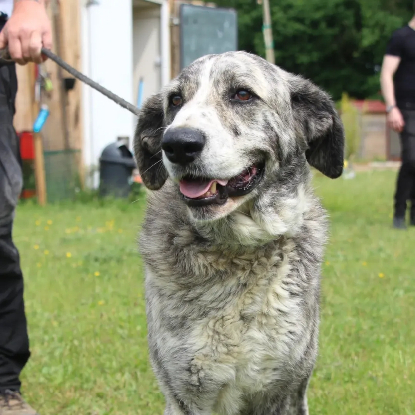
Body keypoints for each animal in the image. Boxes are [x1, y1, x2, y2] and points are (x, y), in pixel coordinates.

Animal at [133, 51, 344, 415]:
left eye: (242, 94)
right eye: (175, 100)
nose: (177, 143)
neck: (239, 251)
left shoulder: (287, 390)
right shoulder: (186, 394)